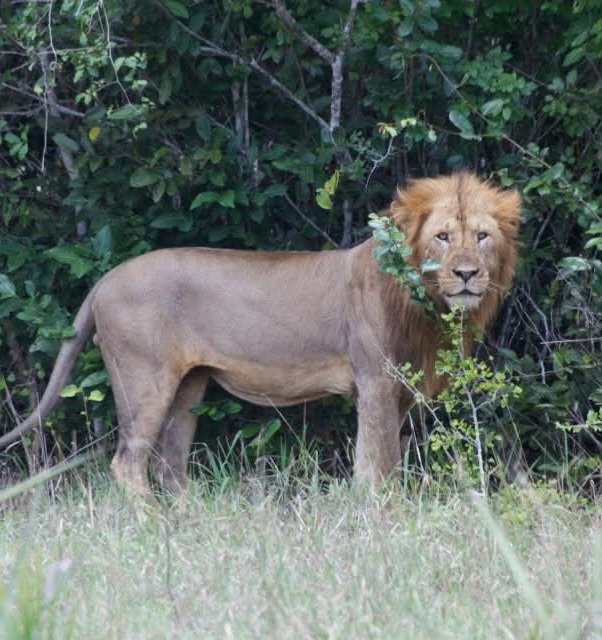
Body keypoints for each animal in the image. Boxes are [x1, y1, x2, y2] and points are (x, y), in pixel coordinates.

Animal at [0, 172, 520, 495]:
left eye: (482, 236)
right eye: (443, 237)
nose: (468, 274)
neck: (425, 303)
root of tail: (104, 280)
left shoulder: (395, 389)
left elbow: (377, 463)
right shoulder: (374, 381)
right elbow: (380, 466)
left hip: (188, 389)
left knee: (171, 466)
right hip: (142, 382)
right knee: (127, 464)